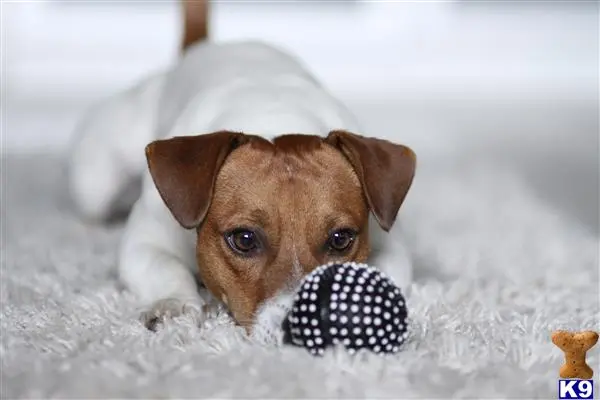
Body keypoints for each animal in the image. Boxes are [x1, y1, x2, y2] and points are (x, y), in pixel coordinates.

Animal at [67, 0, 418, 338]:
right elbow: (166, 269)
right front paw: (174, 306)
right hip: (95, 185)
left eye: (341, 239)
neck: (274, 118)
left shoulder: (391, 244)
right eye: (245, 240)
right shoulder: (145, 240)